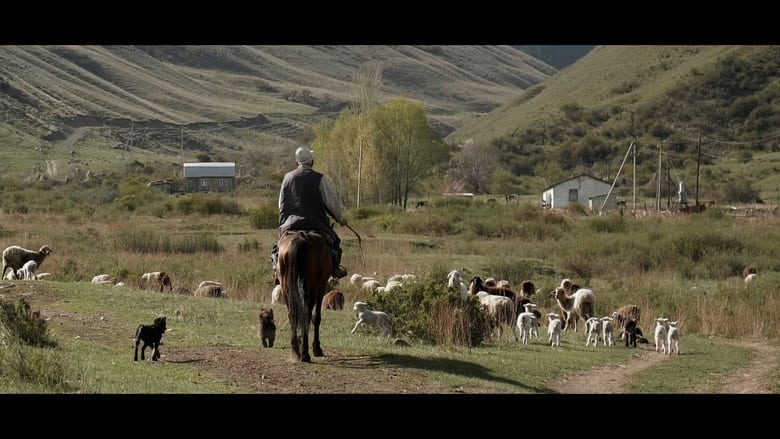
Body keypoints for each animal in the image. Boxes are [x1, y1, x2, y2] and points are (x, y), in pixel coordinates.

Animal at [278, 230, 332, 364]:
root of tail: (300, 237)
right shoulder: (321, 287)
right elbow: (316, 317)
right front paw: (316, 348)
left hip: (285, 285)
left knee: (293, 313)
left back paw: (295, 351)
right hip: (312, 286)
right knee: (306, 314)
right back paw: (305, 353)